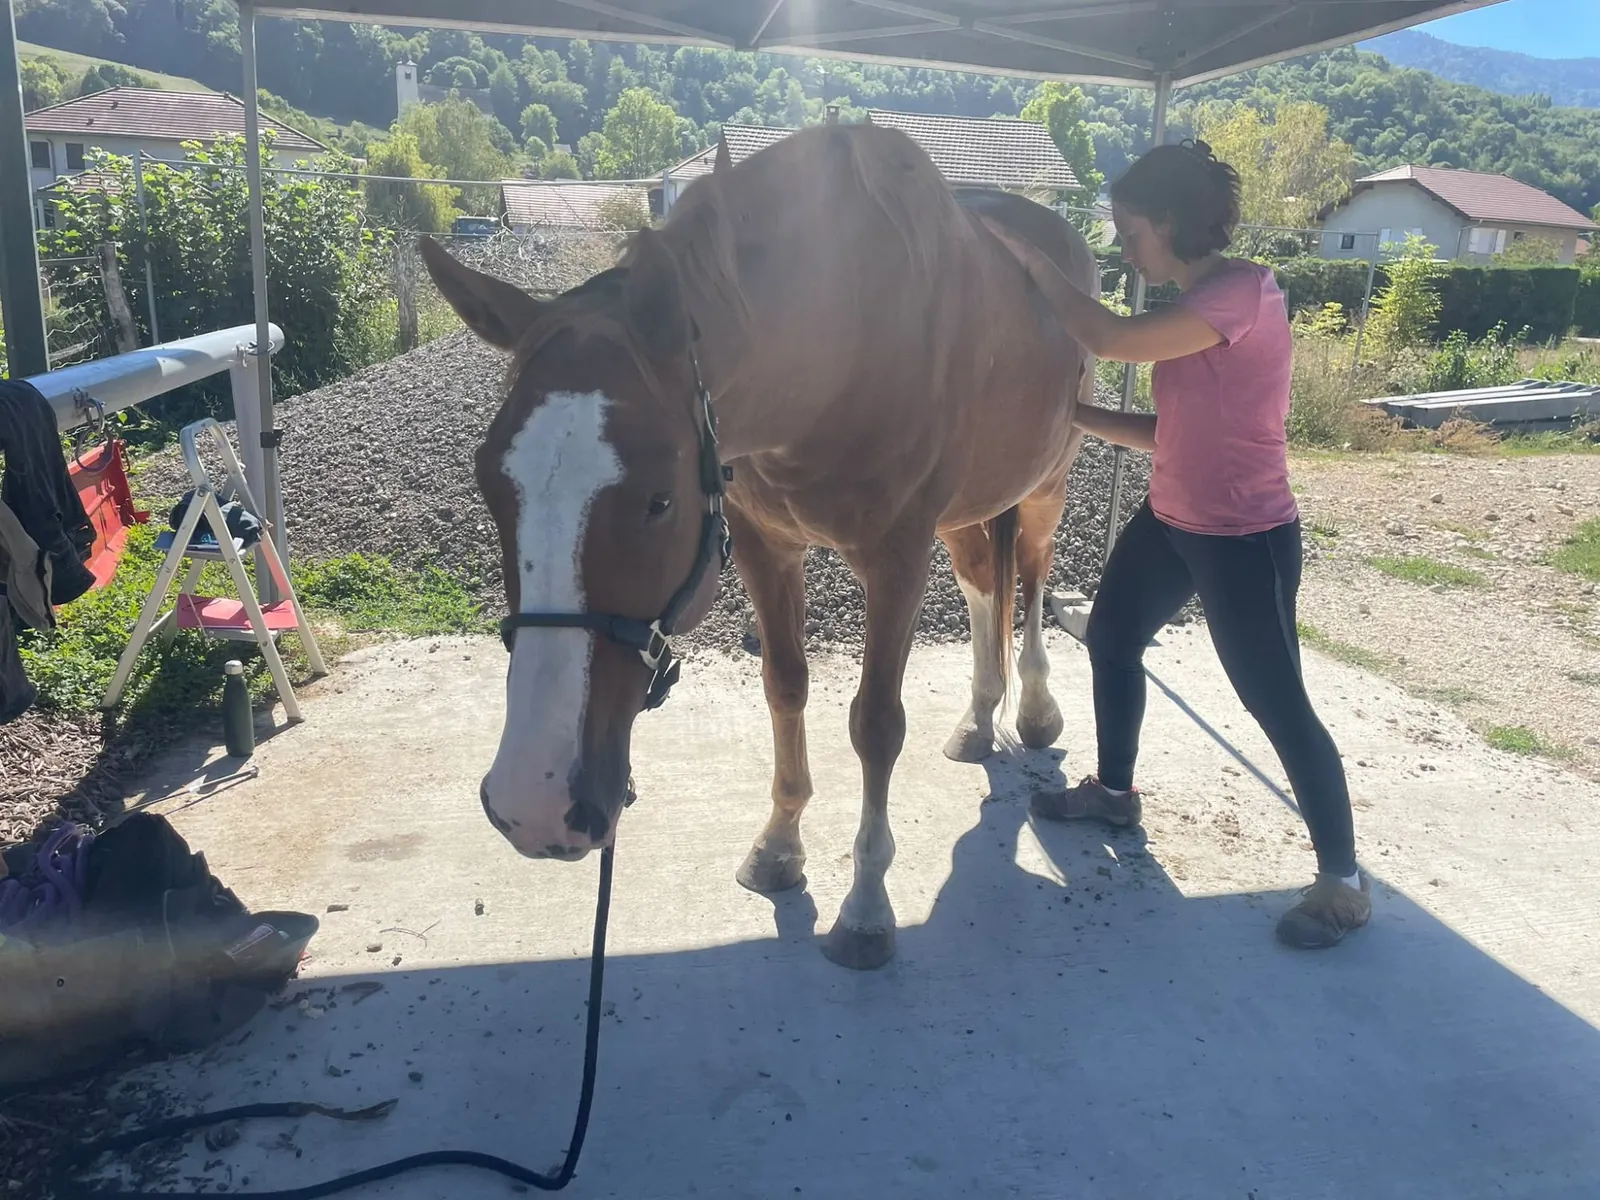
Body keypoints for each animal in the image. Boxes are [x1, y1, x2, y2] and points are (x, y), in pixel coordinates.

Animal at [419, 121, 1099, 970]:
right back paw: (978, 719)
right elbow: (785, 686)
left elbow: (876, 723)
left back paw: (1034, 708)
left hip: (1045, 487)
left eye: (659, 499)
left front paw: (866, 906)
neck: (840, 346)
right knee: (981, 580)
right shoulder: (763, 547)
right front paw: (779, 844)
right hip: (964, 513)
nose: (534, 802)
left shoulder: (897, 559)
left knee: (1031, 582)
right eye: (489, 482)